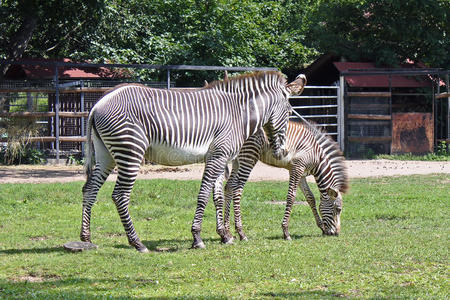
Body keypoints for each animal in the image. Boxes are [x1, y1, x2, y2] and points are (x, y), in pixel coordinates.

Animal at [80, 72, 306, 251]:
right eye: (289, 112)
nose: (282, 151)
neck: (238, 113)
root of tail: (99, 103)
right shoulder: (218, 156)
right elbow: (203, 195)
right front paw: (197, 237)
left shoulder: (218, 157)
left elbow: (218, 196)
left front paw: (224, 235)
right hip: (130, 150)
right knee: (120, 195)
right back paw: (137, 243)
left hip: (106, 153)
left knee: (89, 189)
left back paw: (86, 239)